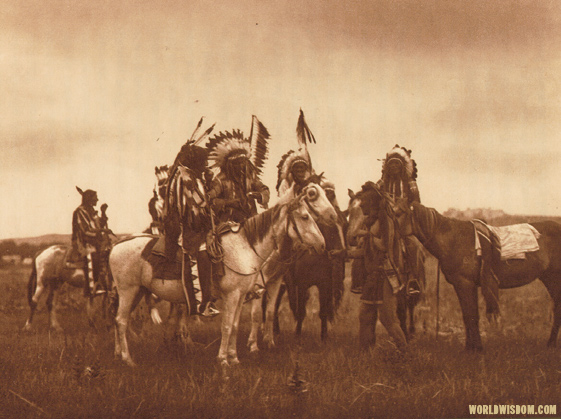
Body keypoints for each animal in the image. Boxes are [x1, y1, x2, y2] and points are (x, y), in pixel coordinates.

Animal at [109, 193, 324, 368]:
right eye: (305, 217)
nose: (322, 244)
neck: (243, 248)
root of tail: (117, 245)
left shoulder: (241, 296)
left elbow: (235, 326)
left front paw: (234, 358)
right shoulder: (231, 295)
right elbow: (227, 326)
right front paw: (222, 360)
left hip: (136, 292)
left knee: (119, 320)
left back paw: (118, 354)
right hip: (128, 290)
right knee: (121, 321)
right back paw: (128, 359)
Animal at [392, 199, 560, 352]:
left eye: (399, 213)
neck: (454, 240)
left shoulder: (466, 284)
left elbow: (472, 315)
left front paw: (477, 348)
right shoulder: (461, 285)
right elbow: (467, 316)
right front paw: (469, 347)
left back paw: (551, 344)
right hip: (549, 279)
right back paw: (550, 344)